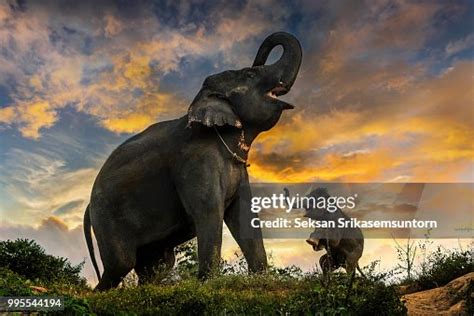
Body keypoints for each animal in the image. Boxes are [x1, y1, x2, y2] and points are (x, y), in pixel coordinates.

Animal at [83, 32, 302, 292]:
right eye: (250, 74)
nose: (257, 57)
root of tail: (87, 207)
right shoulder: (195, 161)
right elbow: (208, 210)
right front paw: (208, 284)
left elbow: (244, 215)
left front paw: (261, 281)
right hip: (106, 218)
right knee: (121, 263)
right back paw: (98, 292)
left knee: (157, 264)